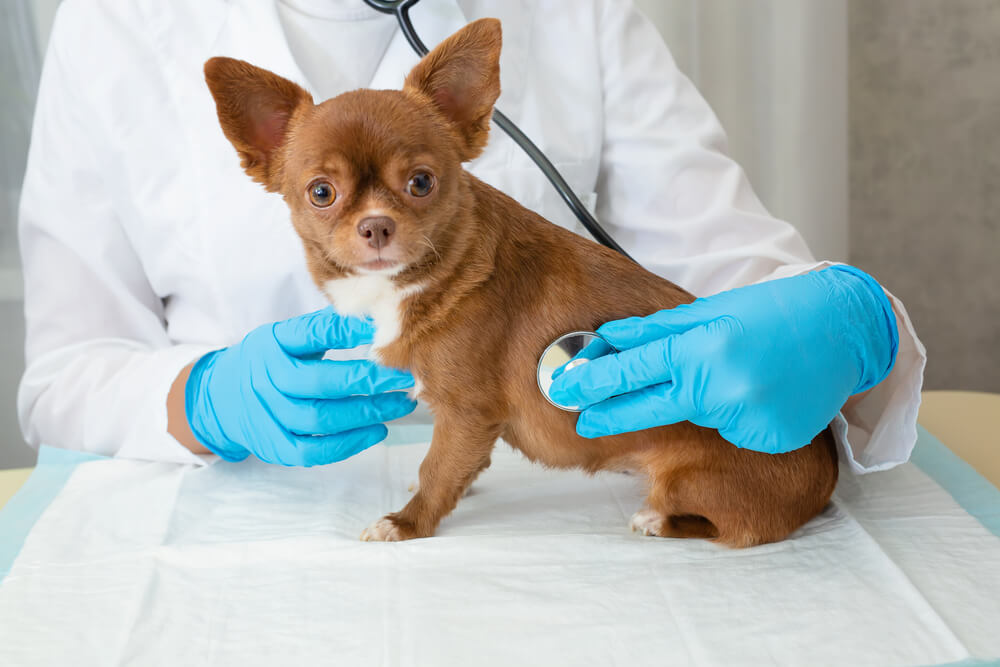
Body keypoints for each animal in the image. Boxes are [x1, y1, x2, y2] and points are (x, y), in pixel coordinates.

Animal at [207, 19, 840, 548]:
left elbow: (435, 469)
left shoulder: (465, 411)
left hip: (694, 480)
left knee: (733, 529)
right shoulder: (466, 423)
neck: (431, 277)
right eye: (321, 192)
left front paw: (407, 521)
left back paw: (656, 520)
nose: (377, 225)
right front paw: (462, 487)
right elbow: (457, 465)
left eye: (421, 182)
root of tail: (827, 465)